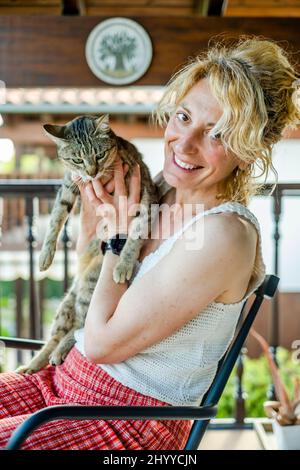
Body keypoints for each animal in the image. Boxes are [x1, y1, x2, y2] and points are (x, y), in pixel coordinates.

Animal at [17, 114, 166, 374]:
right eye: (77, 159)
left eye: (100, 155)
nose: (92, 172)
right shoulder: (68, 186)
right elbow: (56, 218)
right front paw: (45, 255)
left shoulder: (147, 199)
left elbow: (134, 236)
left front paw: (123, 265)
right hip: (67, 302)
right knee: (63, 332)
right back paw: (34, 364)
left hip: (90, 283)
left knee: (82, 329)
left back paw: (58, 352)